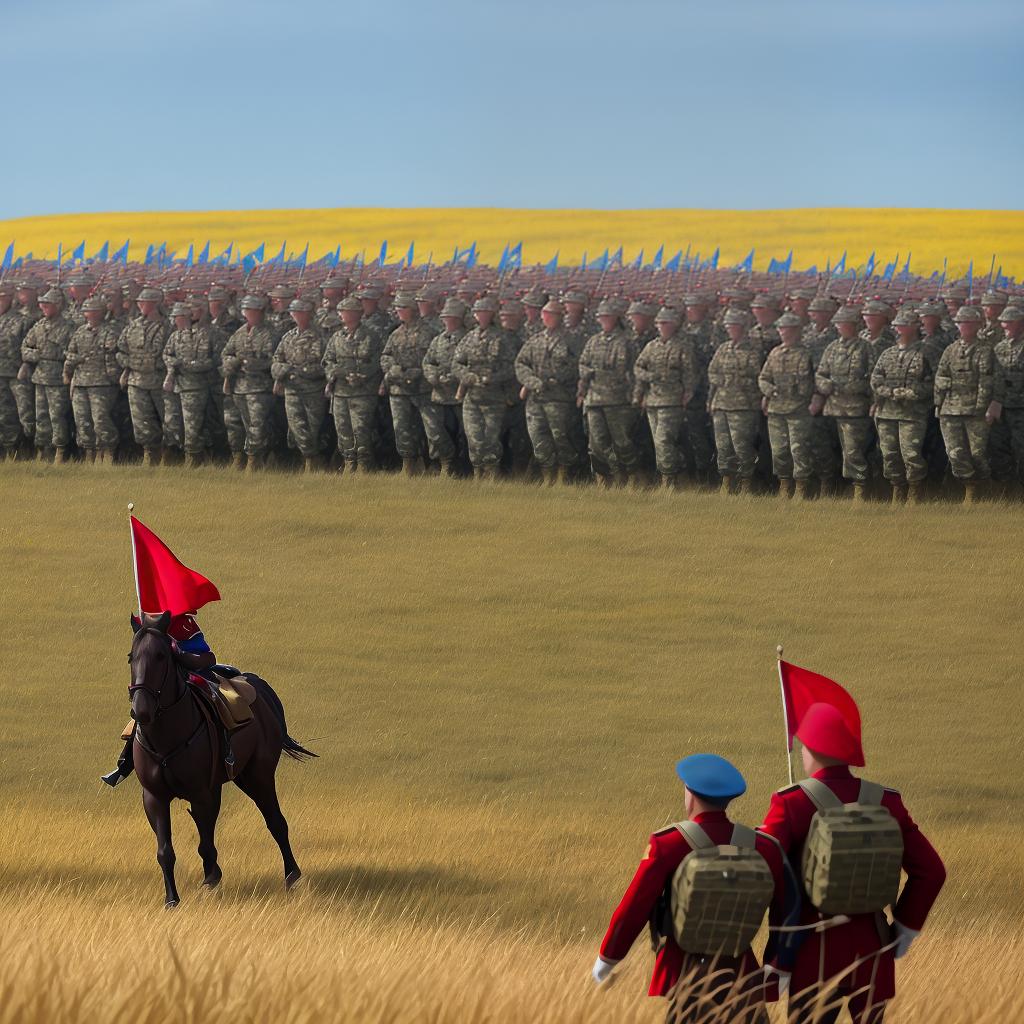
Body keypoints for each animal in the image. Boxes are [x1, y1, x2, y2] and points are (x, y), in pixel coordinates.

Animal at [127, 606, 313, 905]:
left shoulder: (202, 792)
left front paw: (211, 880)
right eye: (132, 657)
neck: (167, 735)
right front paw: (172, 900)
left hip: (258, 776)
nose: (141, 710)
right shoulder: (154, 797)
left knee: (276, 822)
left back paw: (292, 875)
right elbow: (165, 851)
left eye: (161, 656)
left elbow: (206, 842)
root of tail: (256, 683)